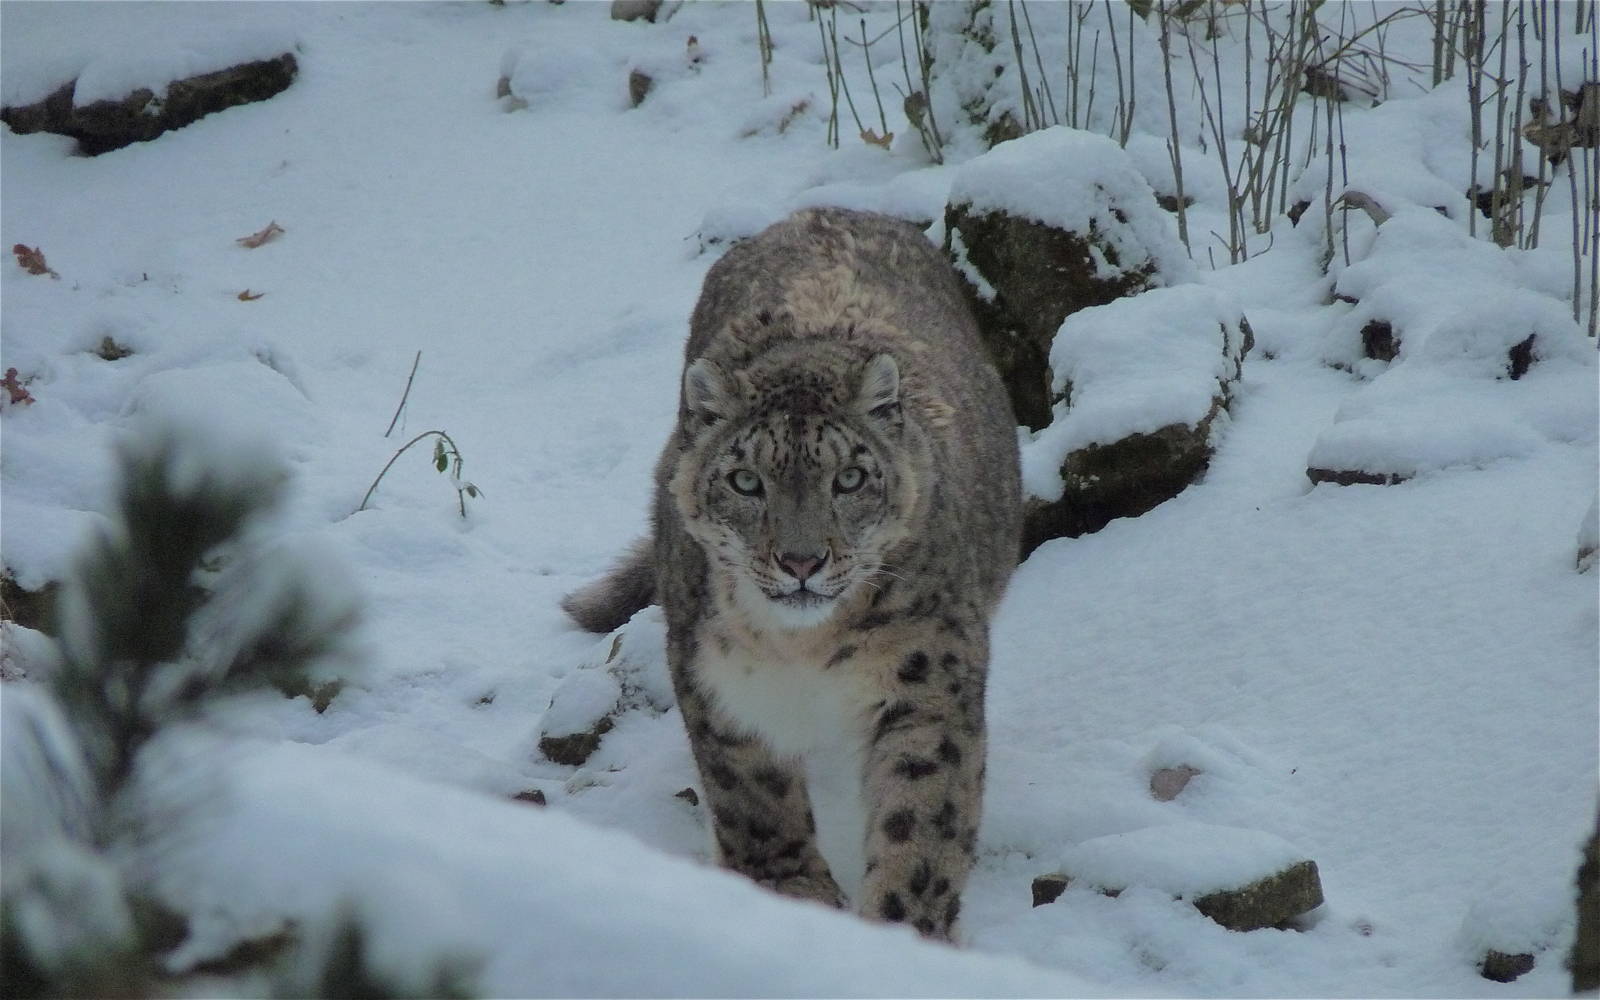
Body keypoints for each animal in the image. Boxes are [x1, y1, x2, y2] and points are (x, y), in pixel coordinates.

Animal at [563, 206, 1021, 941]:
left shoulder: (928, 680)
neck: (802, 648)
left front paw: (905, 927)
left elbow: (921, 819)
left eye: (851, 478)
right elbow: (754, 797)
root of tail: (825, 211)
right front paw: (792, 893)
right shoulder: (717, 679)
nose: (802, 561)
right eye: (747, 481)